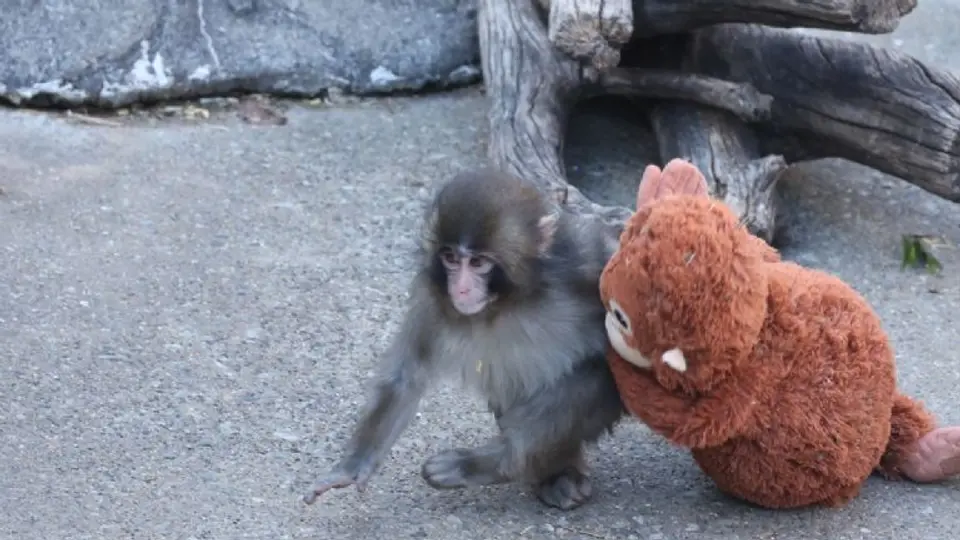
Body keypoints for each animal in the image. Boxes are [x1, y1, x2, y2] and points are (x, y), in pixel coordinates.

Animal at [303, 167, 626, 510]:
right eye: (450, 259)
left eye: (479, 262)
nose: (460, 289)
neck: (509, 302)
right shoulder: (432, 297)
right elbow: (406, 377)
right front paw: (352, 468)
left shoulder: (586, 262)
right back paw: (553, 473)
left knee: (597, 374)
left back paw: (492, 463)